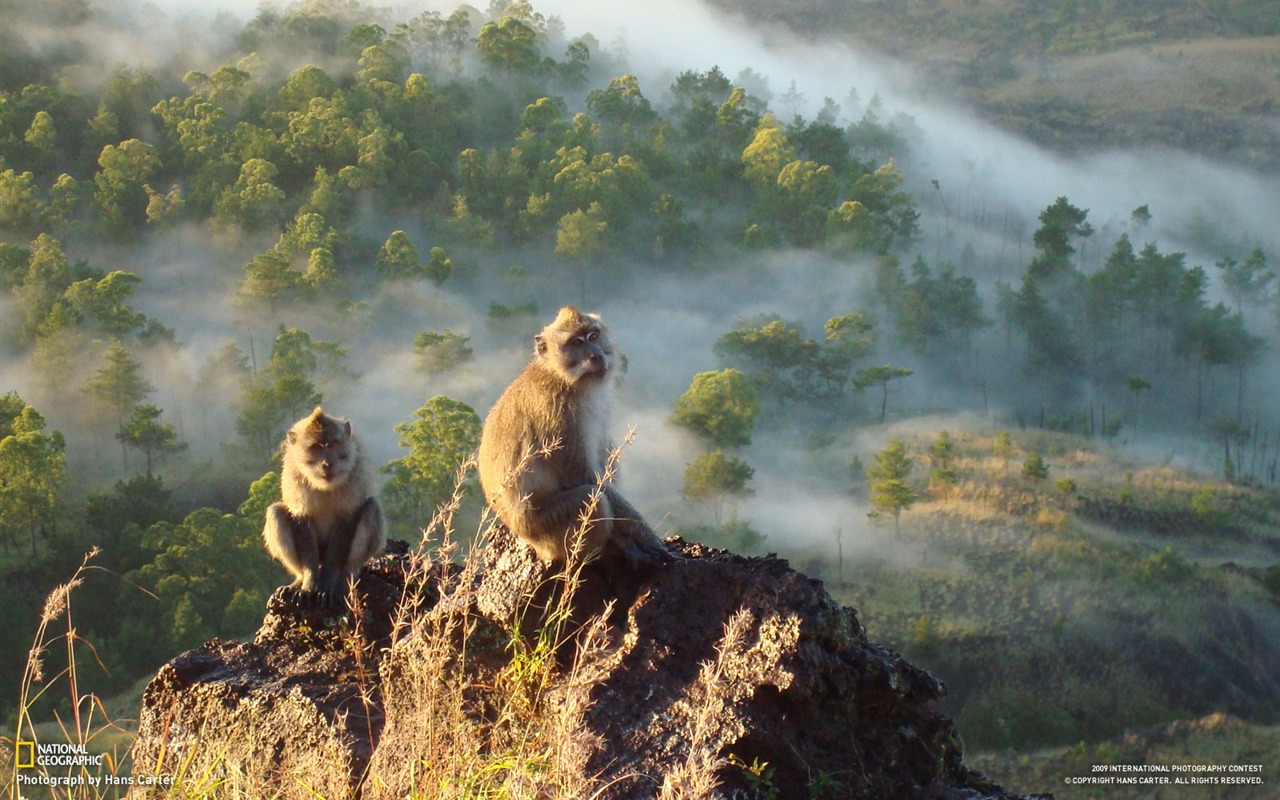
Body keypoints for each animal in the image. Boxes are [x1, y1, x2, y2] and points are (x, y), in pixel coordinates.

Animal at [257, 404, 381, 604]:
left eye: (331, 445)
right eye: (316, 447)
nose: (327, 463)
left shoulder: (356, 473)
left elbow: (347, 518)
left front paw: (329, 583)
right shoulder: (294, 473)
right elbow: (301, 519)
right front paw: (309, 584)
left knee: (371, 507)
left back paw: (346, 577)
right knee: (275, 511)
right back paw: (298, 579)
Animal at [481, 302, 675, 570]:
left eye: (593, 336)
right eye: (576, 343)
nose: (596, 355)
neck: (565, 378)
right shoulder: (560, 415)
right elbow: (585, 478)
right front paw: (646, 538)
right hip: (550, 530)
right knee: (591, 498)